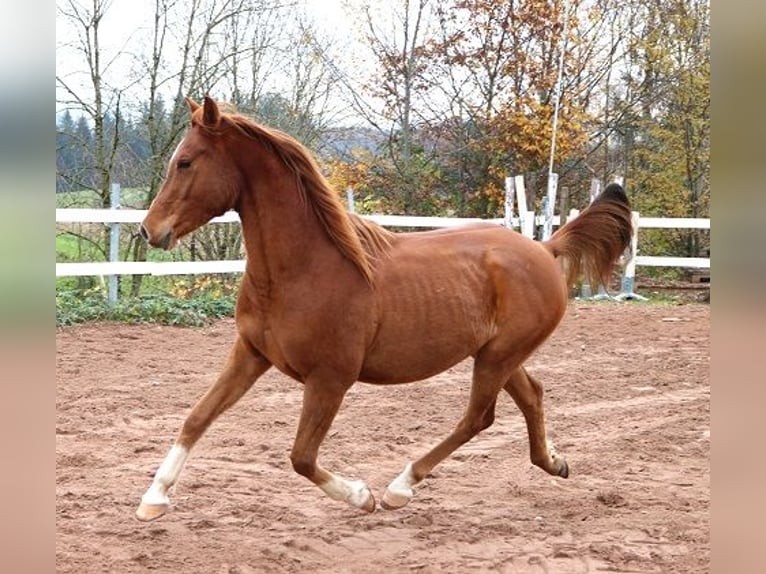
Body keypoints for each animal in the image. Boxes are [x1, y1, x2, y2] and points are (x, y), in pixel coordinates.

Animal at [135, 95, 632, 520]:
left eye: (185, 162)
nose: (148, 230)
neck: (304, 268)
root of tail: (546, 249)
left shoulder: (330, 379)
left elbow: (301, 457)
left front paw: (361, 496)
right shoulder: (251, 354)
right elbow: (196, 417)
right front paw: (153, 499)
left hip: (498, 356)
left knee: (478, 417)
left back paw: (400, 487)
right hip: (498, 354)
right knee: (532, 395)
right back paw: (554, 462)